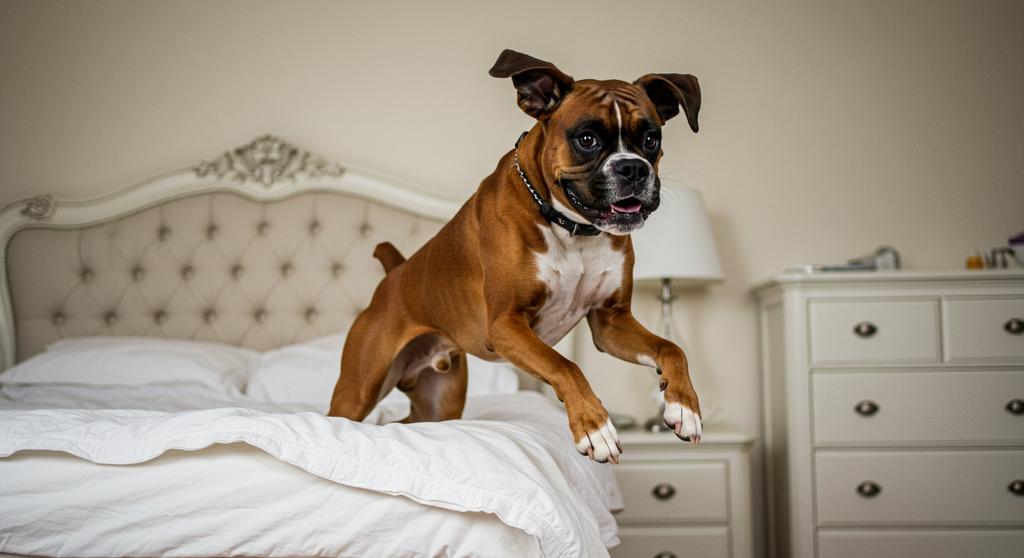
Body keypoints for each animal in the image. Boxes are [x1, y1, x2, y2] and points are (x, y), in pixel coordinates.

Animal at [329, 50, 704, 462]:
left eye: (651, 139)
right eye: (587, 139)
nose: (633, 167)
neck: (571, 228)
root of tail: (395, 274)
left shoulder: (611, 323)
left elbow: (672, 348)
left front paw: (683, 406)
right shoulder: (506, 324)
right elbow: (565, 366)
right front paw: (595, 427)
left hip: (438, 404)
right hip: (357, 391)